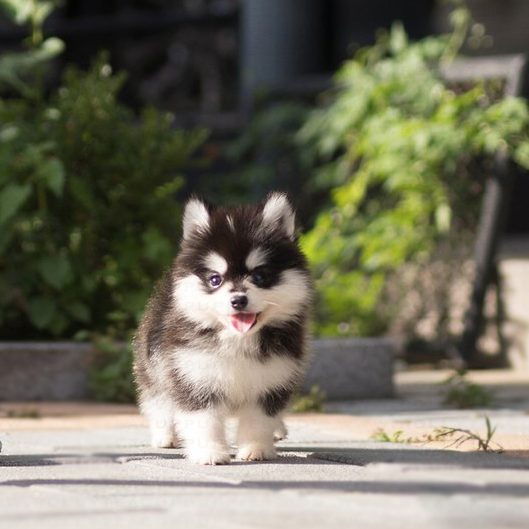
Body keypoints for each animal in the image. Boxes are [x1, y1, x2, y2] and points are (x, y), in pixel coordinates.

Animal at [134, 193, 312, 462]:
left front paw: (255, 449)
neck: (236, 338)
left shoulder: (273, 376)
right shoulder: (194, 375)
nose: (238, 300)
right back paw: (165, 435)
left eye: (259, 276)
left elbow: (259, 419)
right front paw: (209, 452)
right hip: (153, 366)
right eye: (215, 279)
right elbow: (203, 421)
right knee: (158, 400)